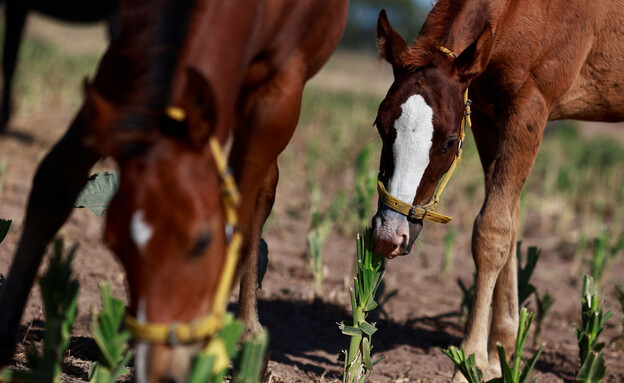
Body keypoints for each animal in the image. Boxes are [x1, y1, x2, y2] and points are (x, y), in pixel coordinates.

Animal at [0, 1, 346, 382]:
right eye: (112, 242)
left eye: (202, 242)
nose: (160, 370)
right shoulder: (123, 57)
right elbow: (54, 181)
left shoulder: (281, 88)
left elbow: (241, 220)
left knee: (261, 194)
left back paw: (248, 335)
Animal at [370, 1, 624, 380]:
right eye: (380, 125)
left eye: (448, 142)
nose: (389, 234)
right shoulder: (485, 112)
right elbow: (509, 222)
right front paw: (501, 353)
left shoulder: (530, 108)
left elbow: (493, 231)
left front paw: (469, 361)